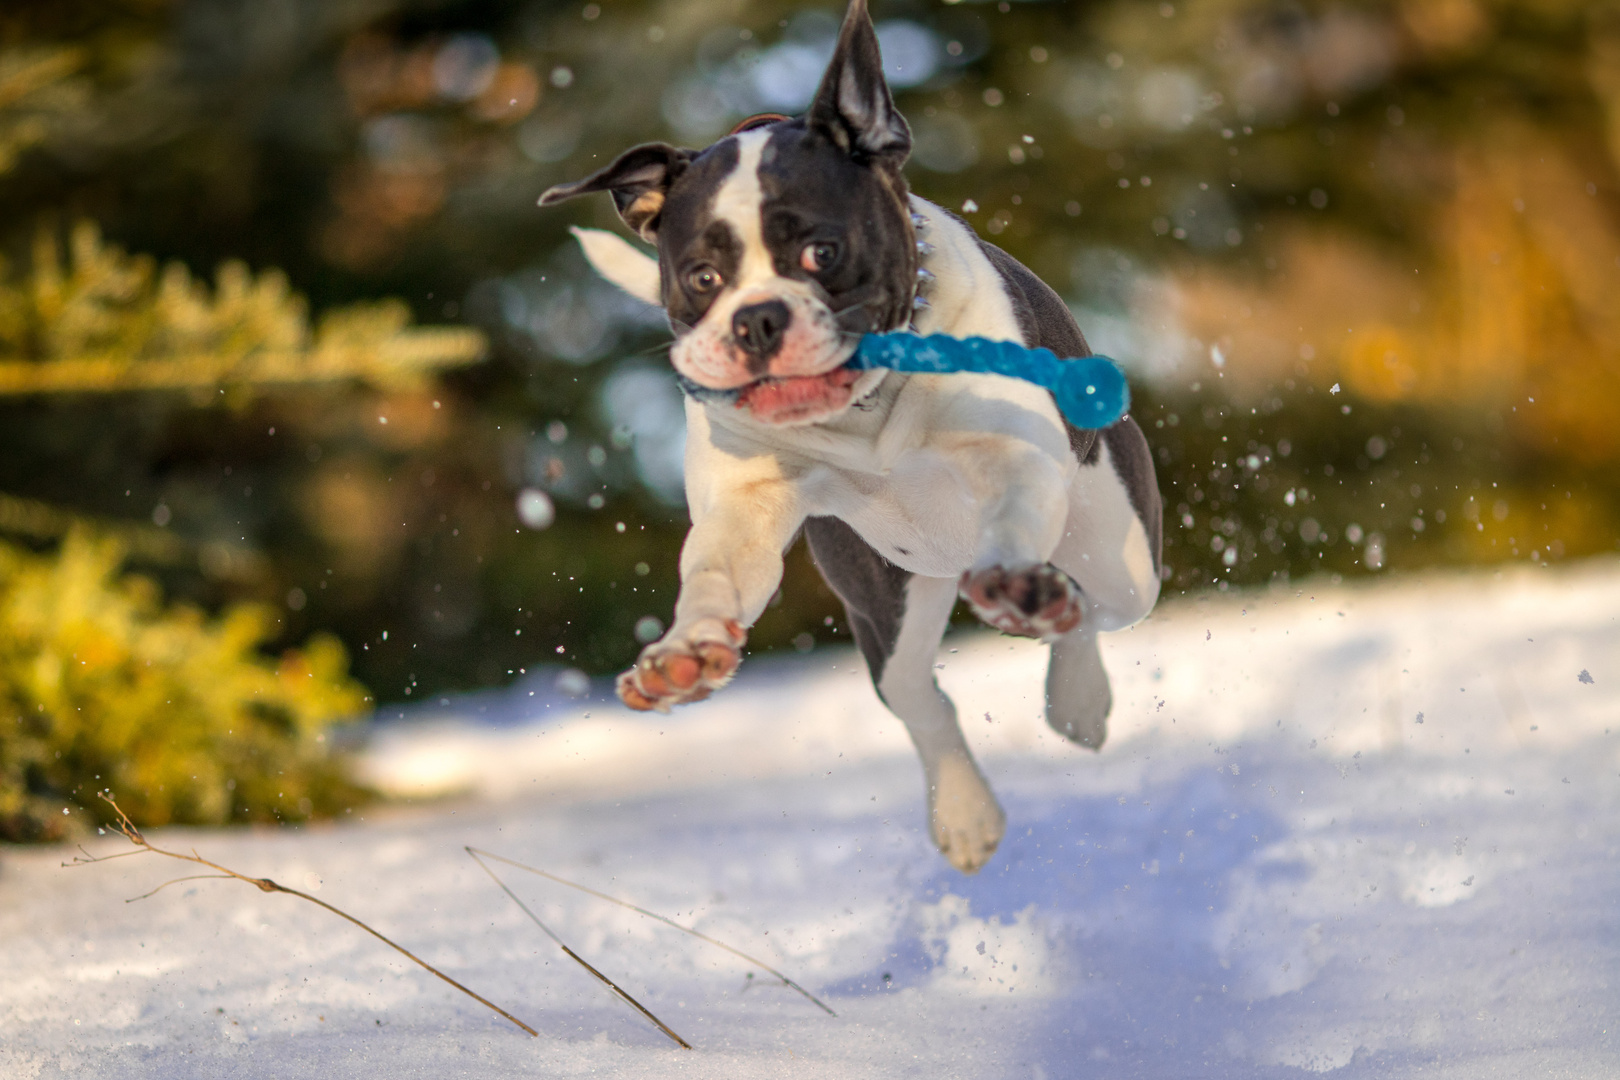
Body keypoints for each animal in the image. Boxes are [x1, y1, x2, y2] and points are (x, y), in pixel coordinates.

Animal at [537, 0, 1159, 874]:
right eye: (701, 277)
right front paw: (684, 653)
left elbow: (1014, 519)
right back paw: (965, 812)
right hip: (884, 600)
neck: (868, 413)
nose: (757, 319)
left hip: (1120, 552)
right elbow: (715, 577)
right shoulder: (745, 509)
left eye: (820, 251)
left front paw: (1018, 588)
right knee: (919, 696)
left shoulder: (1018, 462)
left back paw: (1074, 692)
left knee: (1094, 609)